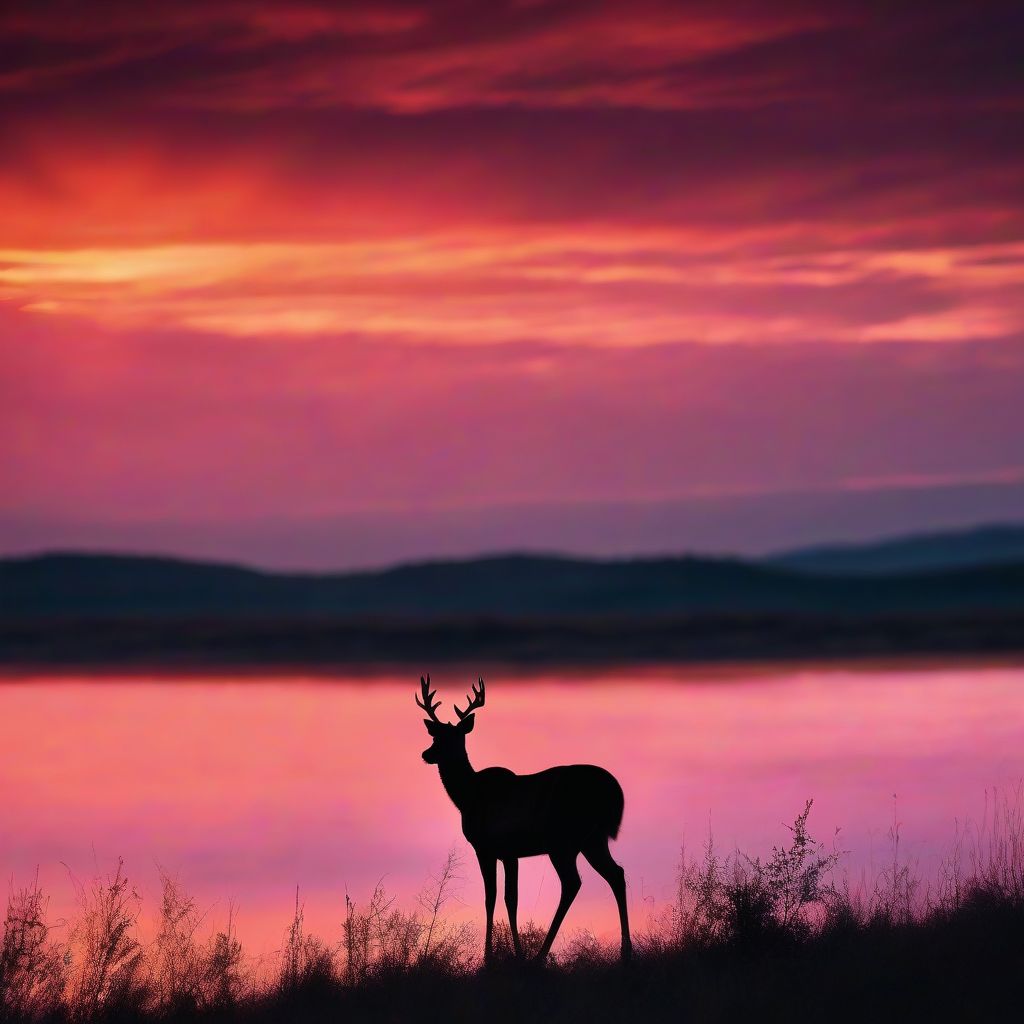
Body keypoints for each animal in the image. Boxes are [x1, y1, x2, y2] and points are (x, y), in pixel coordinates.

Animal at [415, 675, 630, 962]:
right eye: (435, 734)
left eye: (454, 737)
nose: (426, 754)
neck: (468, 798)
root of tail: (613, 792)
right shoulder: (510, 852)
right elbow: (509, 898)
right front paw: (511, 953)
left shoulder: (488, 847)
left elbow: (496, 897)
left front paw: (494, 956)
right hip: (592, 839)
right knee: (616, 873)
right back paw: (626, 952)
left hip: (563, 840)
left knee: (572, 883)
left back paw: (540, 957)